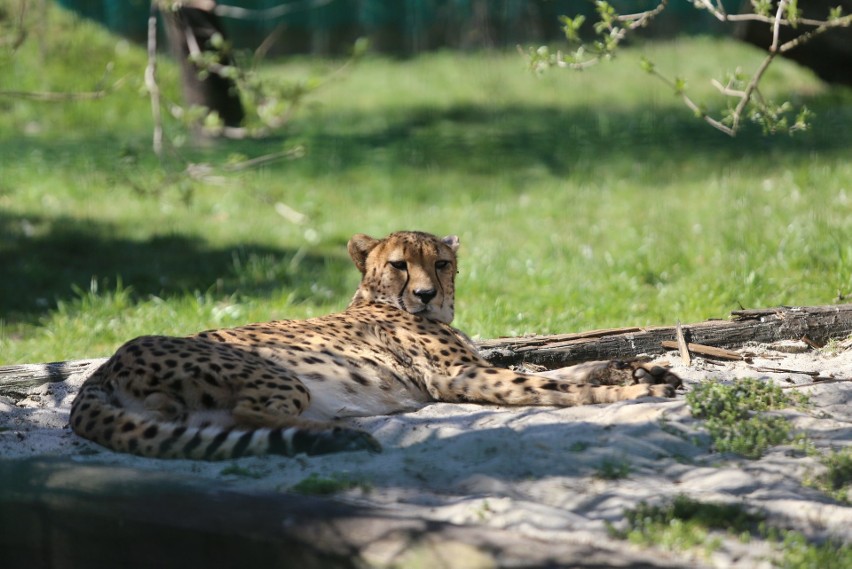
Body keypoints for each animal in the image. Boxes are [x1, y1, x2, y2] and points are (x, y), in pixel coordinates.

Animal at [70, 230, 680, 458]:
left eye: (441, 262)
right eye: (399, 265)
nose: (427, 294)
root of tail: (108, 361)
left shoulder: (475, 366)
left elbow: (566, 371)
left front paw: (639, 371)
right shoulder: (459, 376)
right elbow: (549, 388)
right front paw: (633, 394)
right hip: (276, 375)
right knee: (246, 416)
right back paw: (338, 430)